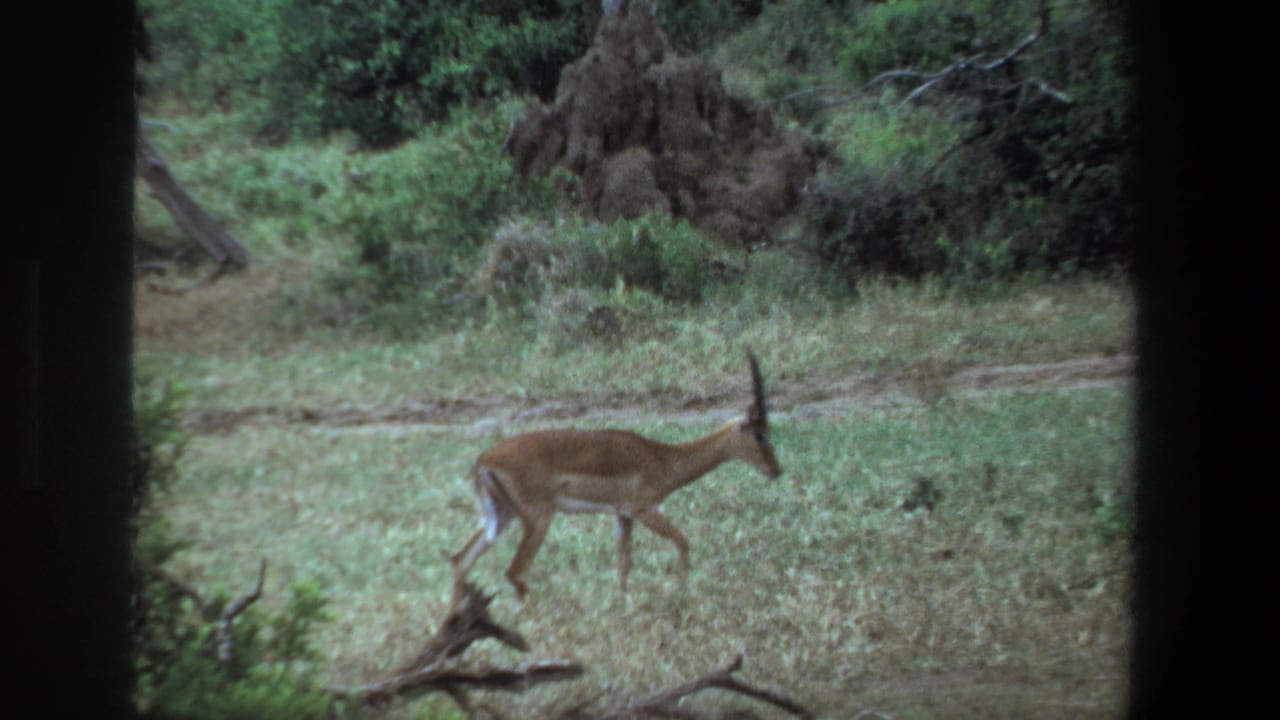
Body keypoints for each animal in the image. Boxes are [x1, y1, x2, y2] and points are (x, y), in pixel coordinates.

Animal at [450, 351, 782, 599]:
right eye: (760, 434)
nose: (776, 470)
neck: (661, 457)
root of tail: (483, 460)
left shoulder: (622, 516)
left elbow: (623, 568)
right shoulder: (643, 509)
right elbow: (682, 542)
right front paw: (682, 593)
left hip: (501, 517)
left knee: (460, 561)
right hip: (537, 519)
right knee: (513, 572)